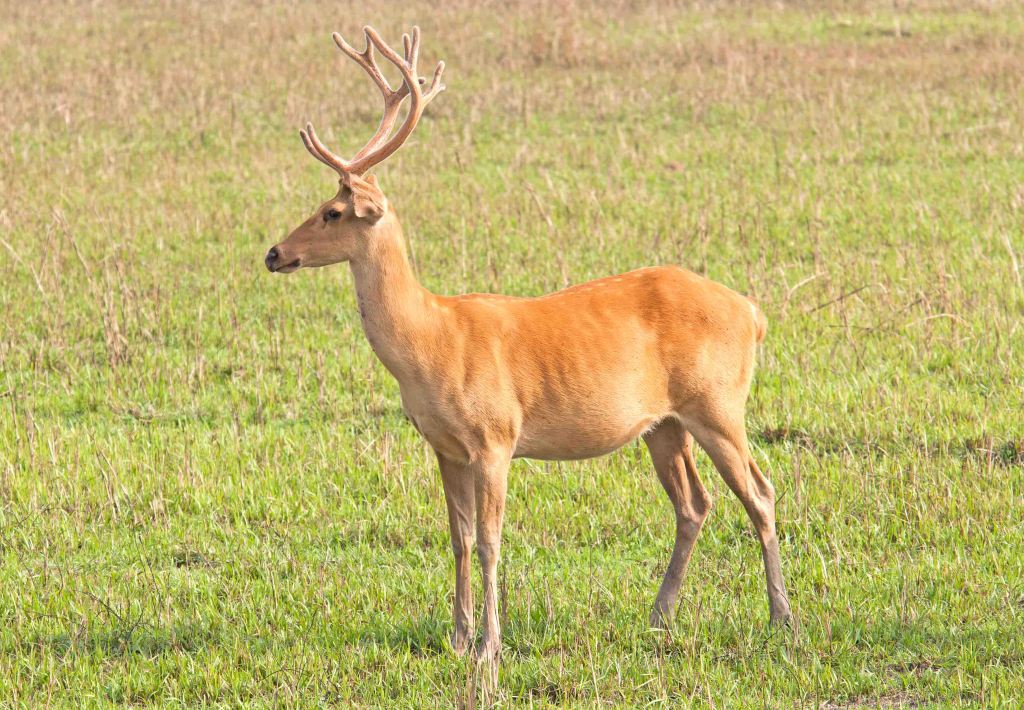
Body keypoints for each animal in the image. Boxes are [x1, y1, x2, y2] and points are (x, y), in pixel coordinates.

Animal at [264, 26, 793, 659]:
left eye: (332, 211)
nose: (273, 253)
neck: (431, 342)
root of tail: (752, 312)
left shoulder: (495, 435)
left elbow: (491, 539)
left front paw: (490, 643)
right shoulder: (444, 445)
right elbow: (459, 538)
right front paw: (458, 635)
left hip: (717, 403)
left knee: (760, 492)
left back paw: (781, 618)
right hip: (664, 423)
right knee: (694, 504)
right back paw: (659, 615)